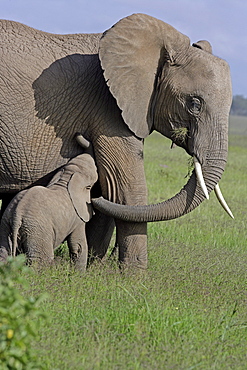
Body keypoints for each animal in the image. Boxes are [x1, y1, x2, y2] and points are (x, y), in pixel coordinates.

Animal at [0, 138, 98, 268]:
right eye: (95, 170)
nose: (79, 136)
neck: (67, 178)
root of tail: (17, 215)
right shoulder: (78, 217)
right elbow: (78, 246)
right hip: (37, 231)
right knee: (40, 261)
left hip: (6, 225)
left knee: (3, 253)